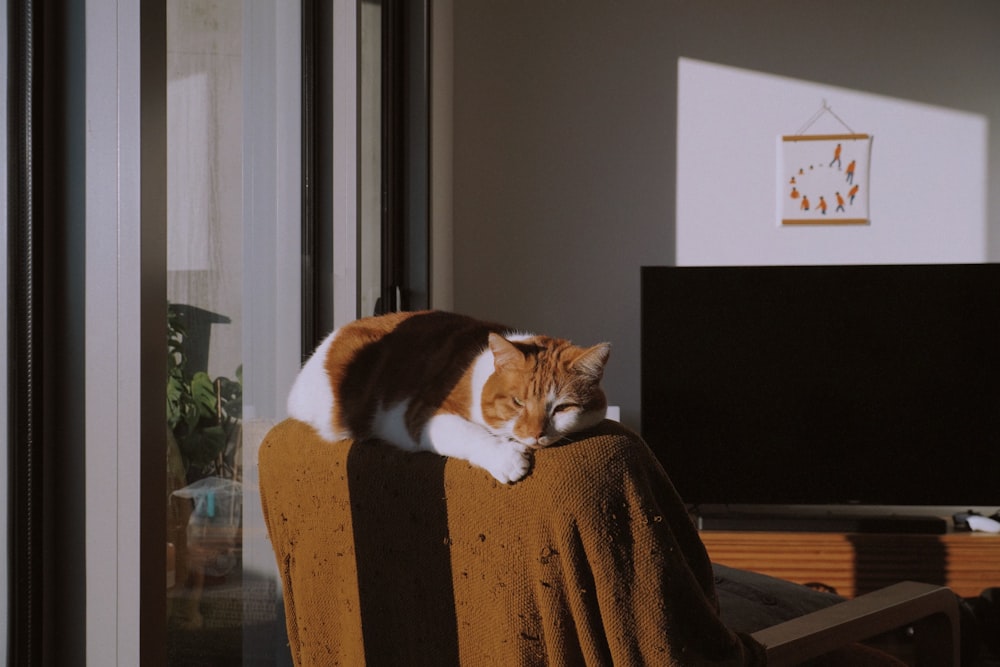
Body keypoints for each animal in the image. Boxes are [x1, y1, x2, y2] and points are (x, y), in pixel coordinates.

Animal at [284, 310, 608, 482]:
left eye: (562, 408)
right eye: (518, 402)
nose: (536, 434)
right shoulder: (420, 414)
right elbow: (470, 434)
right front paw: (507, 458)